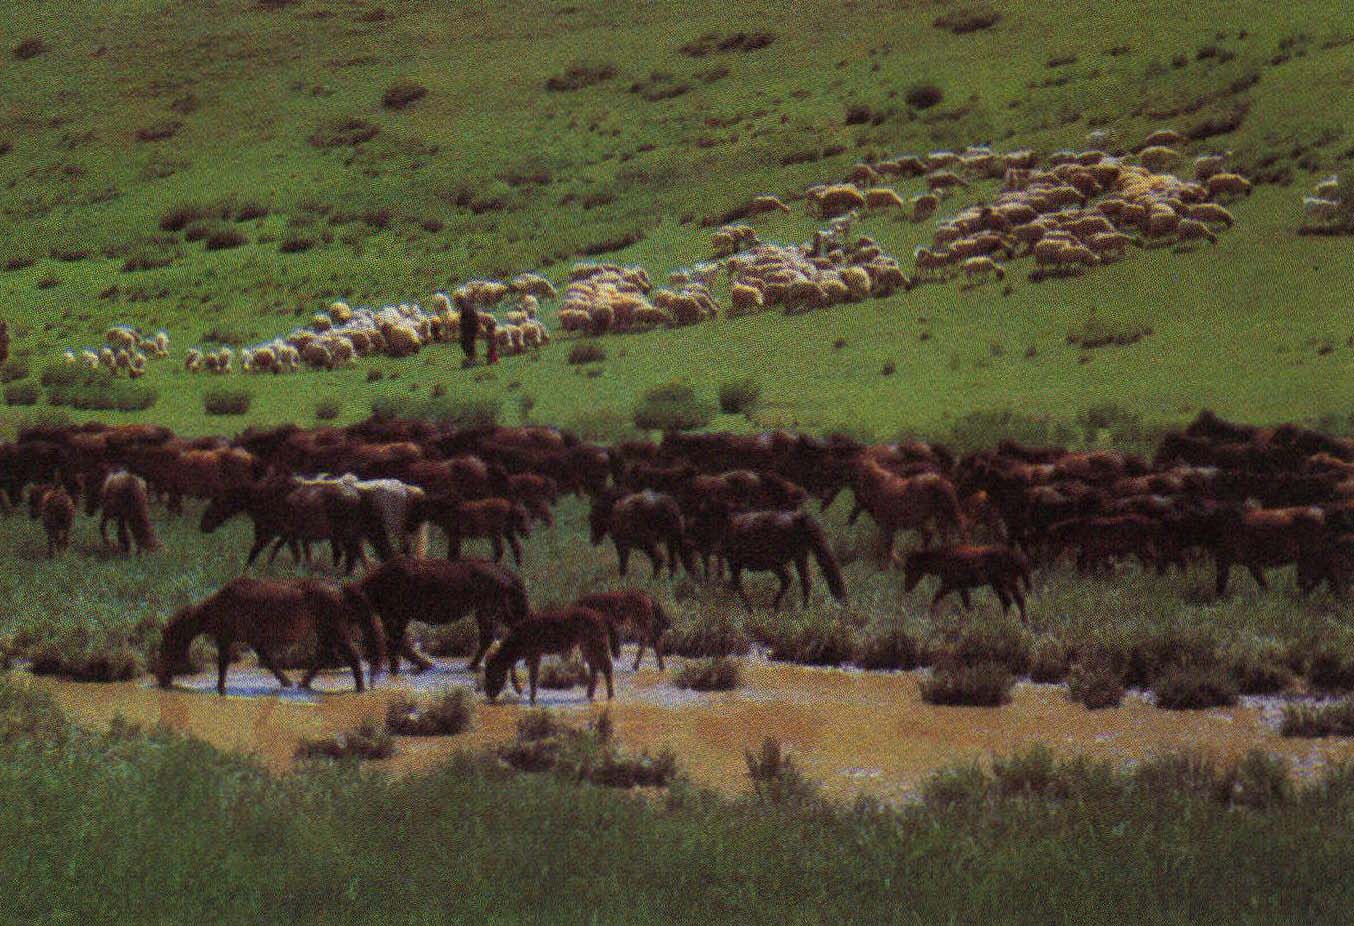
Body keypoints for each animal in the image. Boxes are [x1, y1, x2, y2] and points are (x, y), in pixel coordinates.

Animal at [155, 574, 384, 698]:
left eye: (166, 645)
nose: (160, 679)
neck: (218, 606)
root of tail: (340, 588)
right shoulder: (256, 641)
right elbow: (269, 663)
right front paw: (286, 684)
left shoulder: (225, 639)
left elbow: (222, 665)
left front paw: (220, 690)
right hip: (326, 632)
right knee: (325, 657)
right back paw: (302, 685)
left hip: (335, 632)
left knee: (351, 657)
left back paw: (360, 689)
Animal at [349, 552, 528, 676]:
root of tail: (506, 571)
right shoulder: (394, 616)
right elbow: (395, 643)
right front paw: (398, 668)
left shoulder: (399, 614)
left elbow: (396, 642)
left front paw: (421, 665)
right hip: (492, 610)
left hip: (490, 610)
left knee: (490, 636)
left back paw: (471, 666)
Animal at [484, 603, 617, 703]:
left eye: (492, 673)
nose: (489, 695)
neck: (519, 637)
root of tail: (601, 616)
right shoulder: (529, 656)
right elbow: (520, 671)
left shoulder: (535, 654)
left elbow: (533, 677)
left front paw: (532, 699)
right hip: (586, 647)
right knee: (594, 669)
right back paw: (589, 695)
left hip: (597, 645)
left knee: (607, 668)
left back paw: (611, 697)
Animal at [698, 503, 844, 611]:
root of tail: (798, 517)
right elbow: (734, 584)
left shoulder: (734, 562)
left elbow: (736, 584)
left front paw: (746, 607)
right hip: (799, 557)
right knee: (806, 581)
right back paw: (804, 608)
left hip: (775, 562)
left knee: (788, 579)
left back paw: (775, 606)